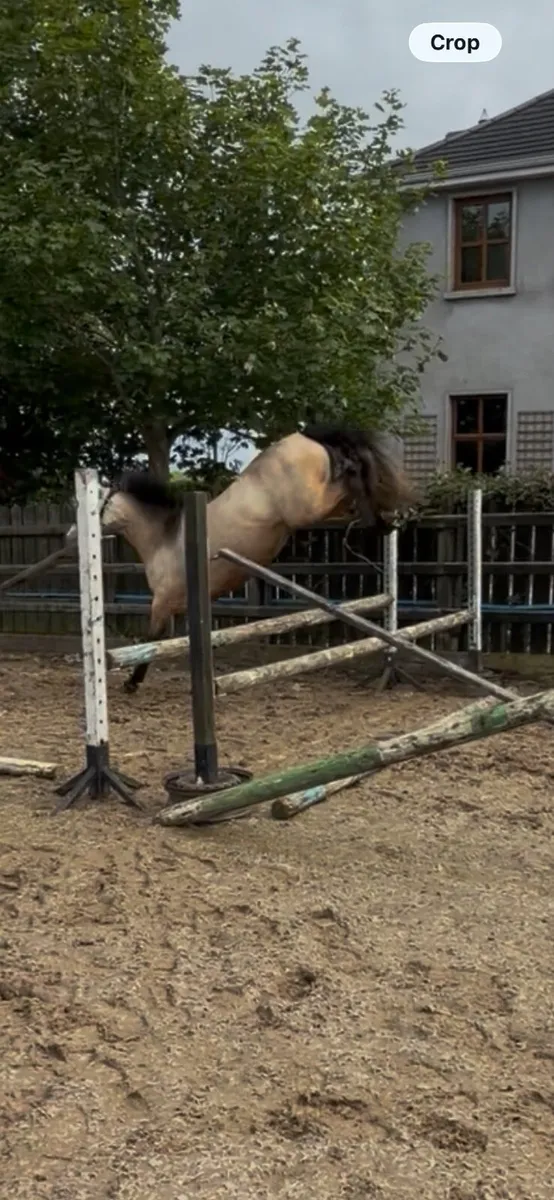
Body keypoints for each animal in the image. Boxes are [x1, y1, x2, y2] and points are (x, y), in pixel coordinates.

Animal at [77, 425, 413, 695]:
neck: (165, 538)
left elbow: (151, 642)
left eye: (98, 505)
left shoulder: (162, 604)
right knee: (354, 488)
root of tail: (305, 438)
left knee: (347, 479)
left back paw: (380, 511)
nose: (71, 535)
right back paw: (386, 517)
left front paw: (132, 683)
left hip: (309, 508)